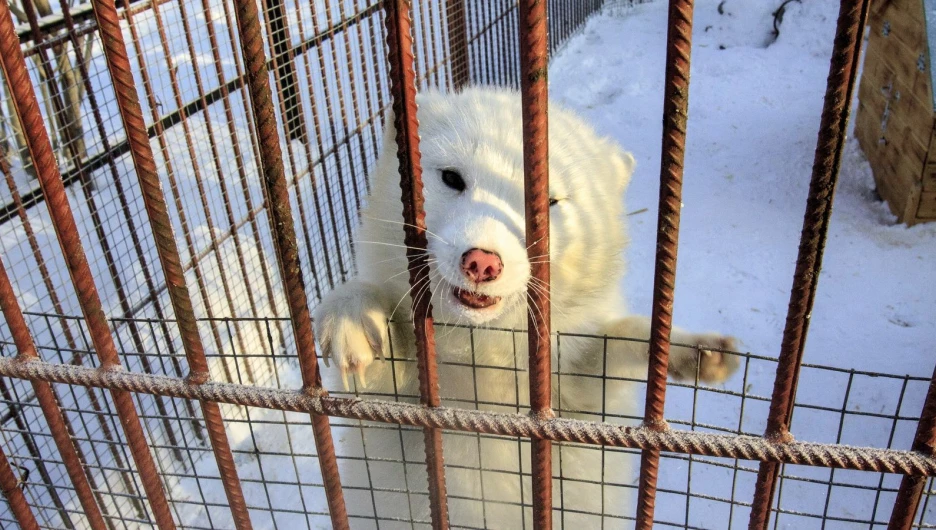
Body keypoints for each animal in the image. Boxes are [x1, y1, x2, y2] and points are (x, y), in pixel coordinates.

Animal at [314, 88, 740, 524]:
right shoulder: (395, 400)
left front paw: (690, 349)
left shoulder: (580, 398)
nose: (482, 262)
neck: (483, 353)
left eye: (549, 202)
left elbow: (624, 338)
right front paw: (353, 316)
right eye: (451, 177)